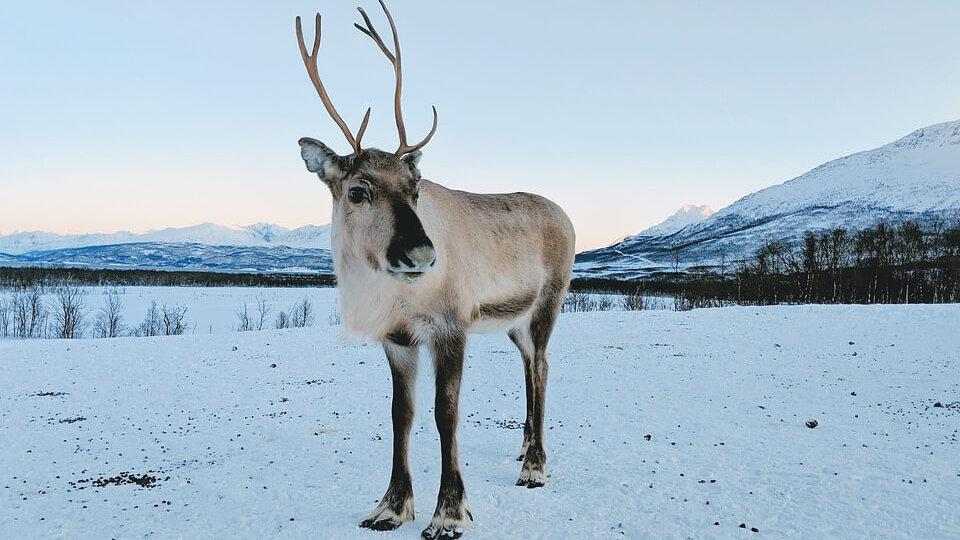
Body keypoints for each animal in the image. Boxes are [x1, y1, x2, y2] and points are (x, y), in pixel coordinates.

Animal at [294, 3, 575, 538]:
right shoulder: (397, 340)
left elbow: (447, 414)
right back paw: (524, 450)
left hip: (549, 303)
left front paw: (449, 512)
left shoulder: (450, 328)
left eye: (416, 185)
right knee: (529, 364)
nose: (422, 255)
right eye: (358, 189)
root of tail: (565, 215)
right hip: (514, 321)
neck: (393, 298)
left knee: (544, 365)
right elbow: (400, 415)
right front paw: (391, 506)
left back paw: (536, 467)